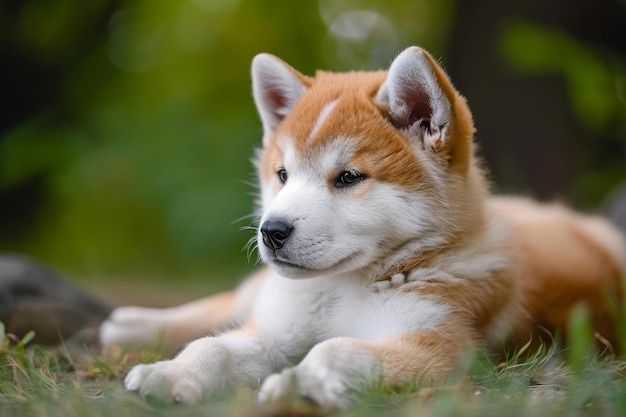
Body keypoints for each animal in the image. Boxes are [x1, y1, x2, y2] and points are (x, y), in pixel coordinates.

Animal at [100, 45, 620, 406]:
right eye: (283, 174)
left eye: (349, 177)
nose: (271, 231)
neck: (342, 289)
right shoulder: (274, 331)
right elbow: (213, 348)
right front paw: (172, 373)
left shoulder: (435, 347)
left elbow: (338, 349)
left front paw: (302, 381)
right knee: (228, 302)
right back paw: (132, 324)